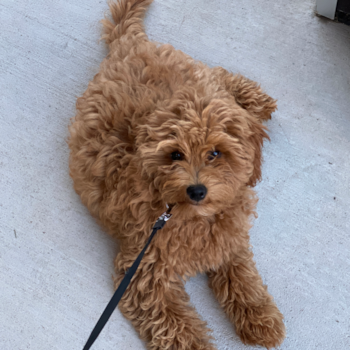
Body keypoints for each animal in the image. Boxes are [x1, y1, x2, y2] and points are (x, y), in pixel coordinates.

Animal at [68, 0, 284, 348]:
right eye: (175, 155)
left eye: (215, 153)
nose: (197, 191)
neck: (191, 217)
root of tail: (130, 44)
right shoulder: (143, 272)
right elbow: (176, 325)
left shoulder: (229, 238)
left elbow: (243, 275)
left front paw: (259, 317)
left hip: (199, 77)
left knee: (219, 77)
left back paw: (255, 99)